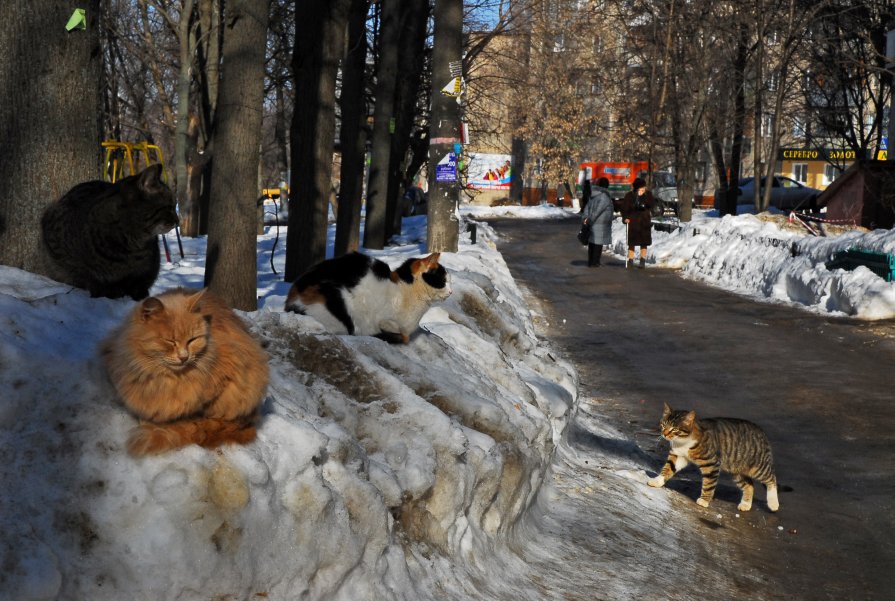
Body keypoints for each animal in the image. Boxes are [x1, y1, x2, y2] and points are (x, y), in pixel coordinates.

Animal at [42, 162, 180, 300]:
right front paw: (109, 292)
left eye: (174, 206)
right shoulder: (65, 252)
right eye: (170, 207)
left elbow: (140, 282)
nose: (178, 220)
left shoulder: (148, 269)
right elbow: (91, 278)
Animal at [102, 288, 270, 454]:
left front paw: (183, 424)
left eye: (192, 340)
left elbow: (194, 413)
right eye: (170, 341)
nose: (184, 357)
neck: (168, 379)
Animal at [648, 404, 780, 510]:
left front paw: (704, 500)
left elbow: (708, 484)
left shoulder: (711, 464)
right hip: (736, 470)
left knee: (771, 478)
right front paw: (657, 481)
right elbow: (668, 468)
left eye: (675, 429)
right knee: (749, 486)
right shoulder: (679, 455)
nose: (664, 434)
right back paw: (745, 505)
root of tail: (762, 432)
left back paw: (773, 503)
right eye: (663, 425)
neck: (683, 441)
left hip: (757, 467)